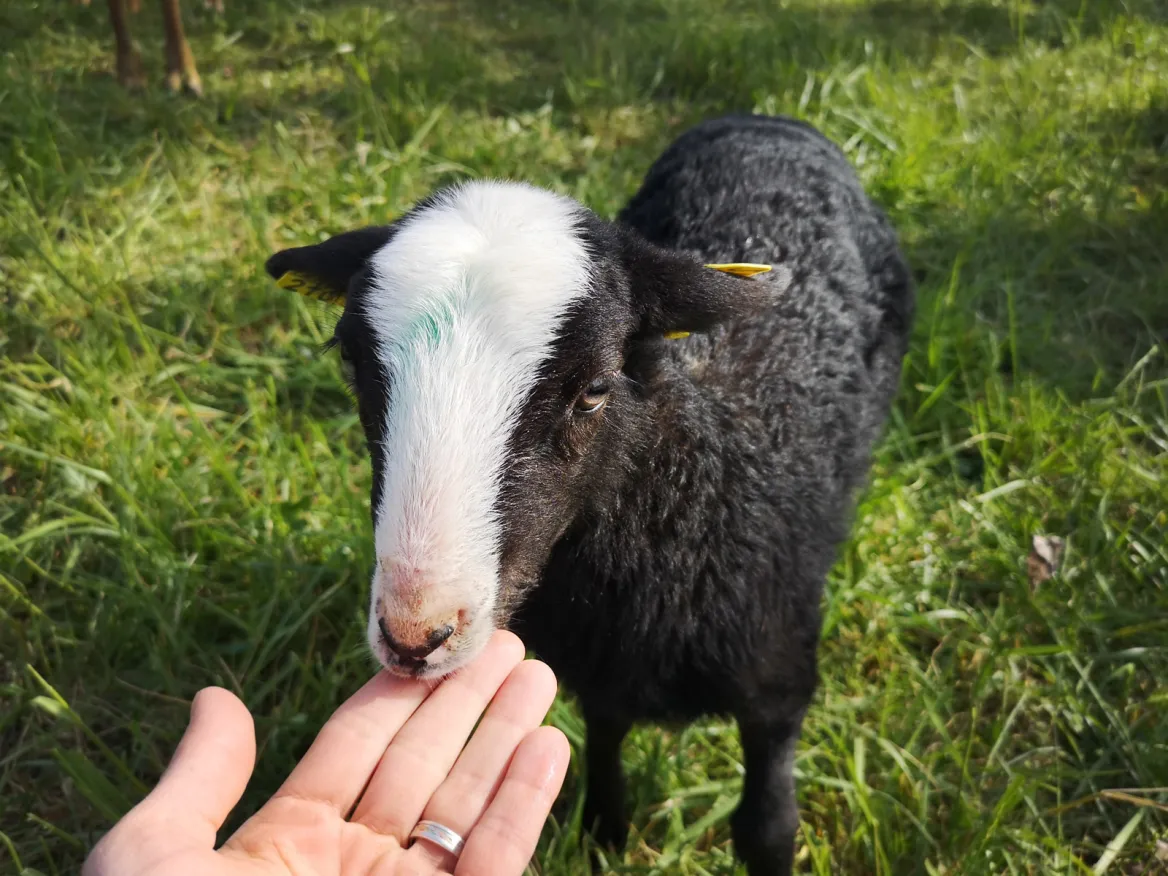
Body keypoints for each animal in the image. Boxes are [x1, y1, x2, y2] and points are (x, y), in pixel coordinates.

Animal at [264, 113, 914, 874]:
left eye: (595, 391)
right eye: (351, 359)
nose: (414, 637)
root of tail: (766, 122)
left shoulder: (779, 685)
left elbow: (767, 829)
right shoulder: (598, 672)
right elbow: (605, 743)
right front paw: (607, 830)